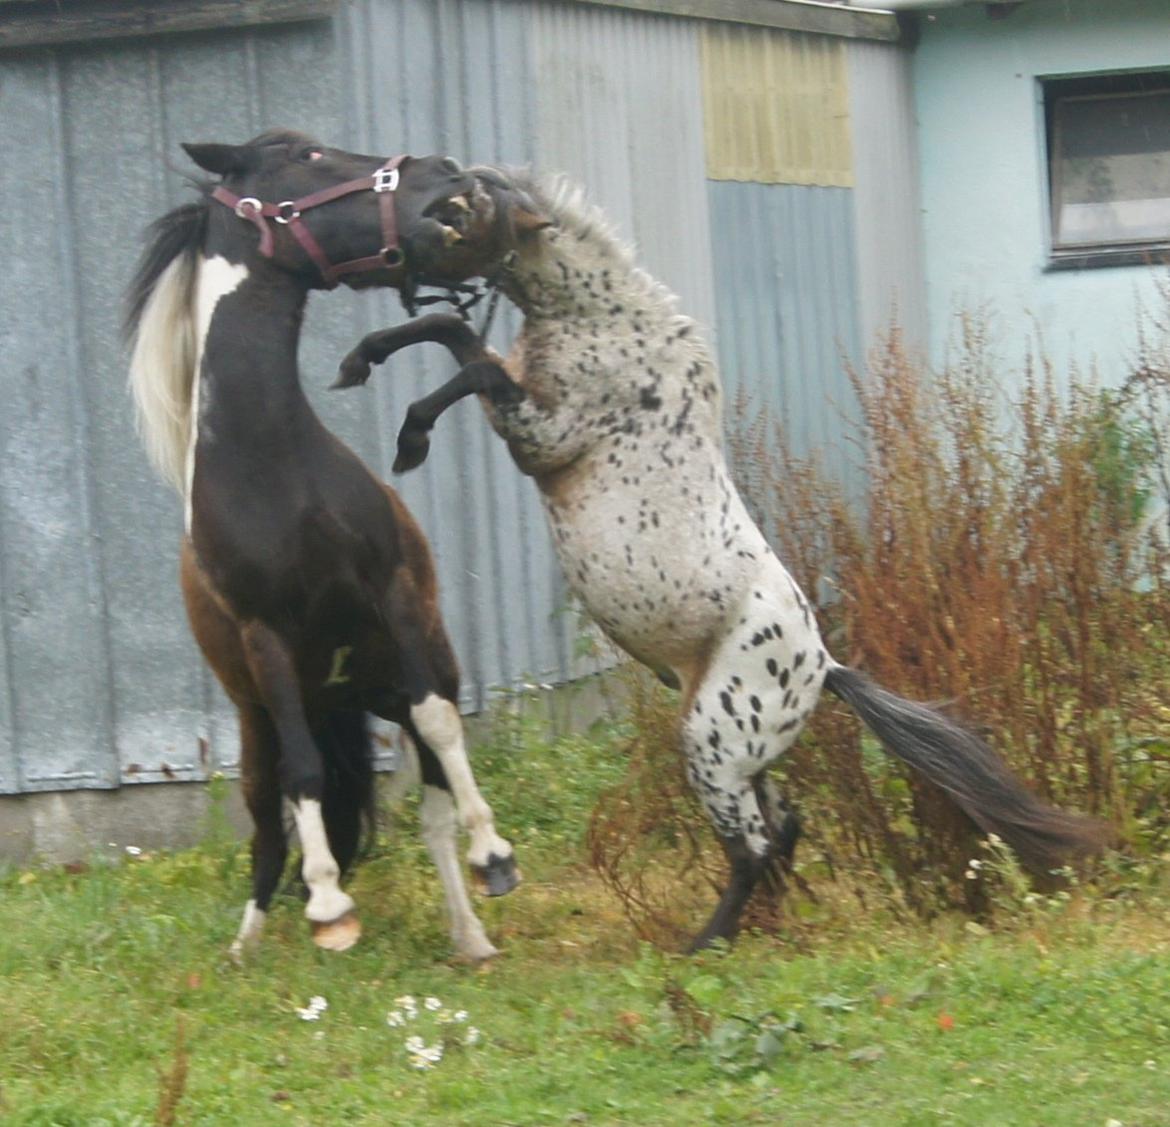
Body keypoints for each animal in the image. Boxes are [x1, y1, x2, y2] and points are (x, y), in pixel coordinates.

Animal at [122, 132, 517, 959]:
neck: (271, 463)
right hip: (259, 720)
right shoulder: (265, 635)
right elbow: (303, 779)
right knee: (268, 825)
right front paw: (330, 901)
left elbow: (441, 726)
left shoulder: (392, 595)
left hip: (392, 681)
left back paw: (470, 933)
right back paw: (247, 946)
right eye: (307, 156)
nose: (445, 174)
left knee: (432, 806)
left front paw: (494, 851)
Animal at [334, 165, 1109, 950]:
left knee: (755, 846)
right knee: (784, 828)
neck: (601, 320)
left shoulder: (540, 435)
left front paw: (410, 436)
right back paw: (755, 927)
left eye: (469, 206)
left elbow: (470, 367)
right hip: (744, 757)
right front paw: (358, 360)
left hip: (713, 744)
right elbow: (452, 332)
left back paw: (706, 942)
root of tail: (825, 668)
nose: (397, 250)